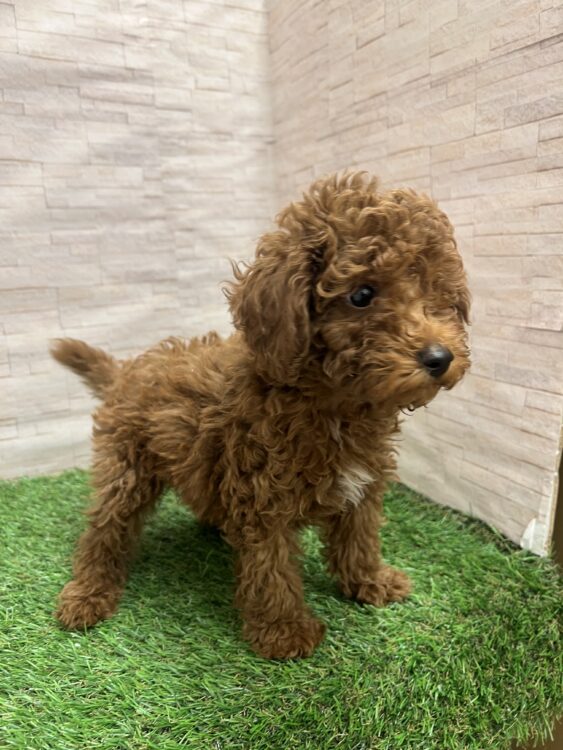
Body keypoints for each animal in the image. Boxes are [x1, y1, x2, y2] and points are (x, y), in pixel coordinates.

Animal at [51, 172, 470, 659]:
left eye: (435, 292)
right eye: (362, 295)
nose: (440, 357)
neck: (337, 405)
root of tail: (126, 369)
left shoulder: (362, 487)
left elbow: (359, 539)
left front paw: (371, 583)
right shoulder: (262, 496)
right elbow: (272, 569)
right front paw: (284, 631)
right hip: (126, 466)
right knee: (106, 528)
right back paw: (88, 594)